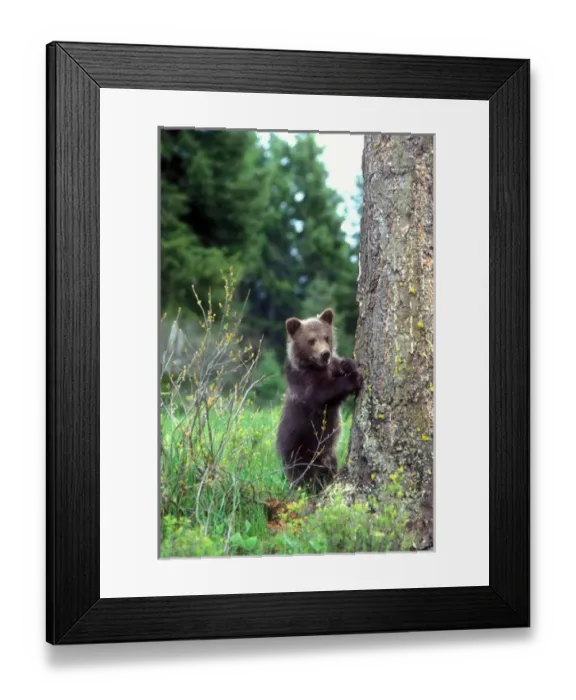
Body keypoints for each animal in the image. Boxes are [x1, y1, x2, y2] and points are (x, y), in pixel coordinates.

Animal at [276, 308, 363, 493]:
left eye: (326, 337)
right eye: (311, 340)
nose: (325, 354)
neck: (317, 367)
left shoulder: (331, 366)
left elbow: (341, 364)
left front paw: (348, 364)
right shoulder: (305, 383)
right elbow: (324, 394)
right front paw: (353, 379)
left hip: (327, 454)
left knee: (329, 469)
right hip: (300, 449)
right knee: (303, 476)